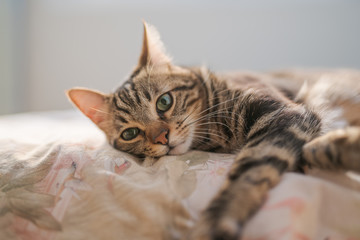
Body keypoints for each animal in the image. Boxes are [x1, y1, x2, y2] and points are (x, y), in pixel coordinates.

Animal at [68, 21, 360, 239]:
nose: (162, 138)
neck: (215, 134)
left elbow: (248, 171)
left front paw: (216, 221)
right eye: (130, 133)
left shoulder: (283, 115)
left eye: (164, 102)